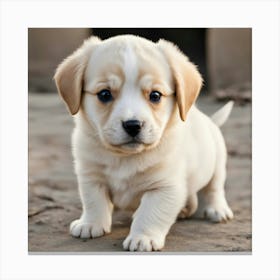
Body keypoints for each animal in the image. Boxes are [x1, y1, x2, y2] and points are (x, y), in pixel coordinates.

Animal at [54, 35, 234, 252]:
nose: (133, 125)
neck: (125, 158)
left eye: (155, 96)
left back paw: (218, 209)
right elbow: (93, 202)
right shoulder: (90, 176)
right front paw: (90, 224)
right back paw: (184, 209)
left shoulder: (164, 187)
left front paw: (143, 237)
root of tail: (210, 121)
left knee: (214, 189)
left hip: (217, 165)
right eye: (104, 94)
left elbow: (150, 213)